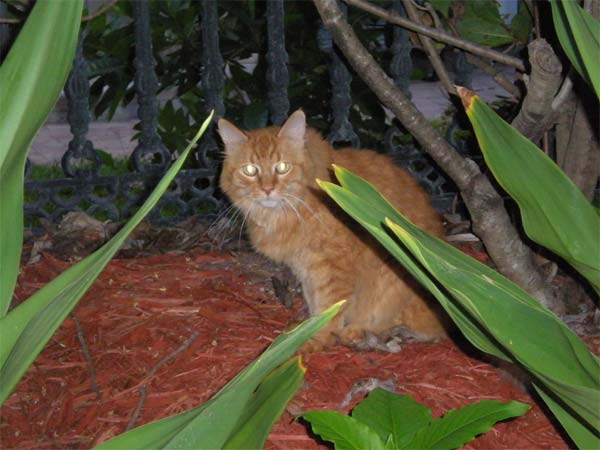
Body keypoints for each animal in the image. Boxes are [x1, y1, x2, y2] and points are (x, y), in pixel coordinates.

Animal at [218, 110, 448, 350]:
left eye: (282, 167)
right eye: (250, 170)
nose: (267, 189)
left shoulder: (332, 266)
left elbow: (330, 308)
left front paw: (313, 339)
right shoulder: (306, 268)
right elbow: (315, 303)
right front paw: (305, 329)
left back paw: (358, 333)